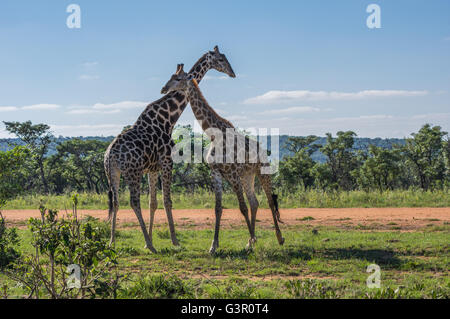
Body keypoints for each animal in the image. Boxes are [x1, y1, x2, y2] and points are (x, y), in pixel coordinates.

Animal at [103, 47, 234, 252]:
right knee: (133, 201)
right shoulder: (167, 162)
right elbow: (167, 201)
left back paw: (112, 241)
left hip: (113, 173)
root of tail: (110, 155)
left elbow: (153, 203)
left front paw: (149, 239)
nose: (232, 73)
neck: (168, 119)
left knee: (116, 202)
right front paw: (174, 240)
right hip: (132, 172)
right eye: (221, 59)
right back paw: (150, 245)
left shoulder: (152, 168)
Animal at [160, 65, 284, 255]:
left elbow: (242, 207)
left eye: (178, 79)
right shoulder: (216, 172)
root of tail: (263, 150)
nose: (163, 89)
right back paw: (250, 241)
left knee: (269, 201)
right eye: (171, 76)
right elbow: (218, 208)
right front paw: (214, 246)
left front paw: (250, 242)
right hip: (247, 176)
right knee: (255, 202)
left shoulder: (232, 173)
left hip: (262, 172)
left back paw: (279, 238)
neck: (213, 135)